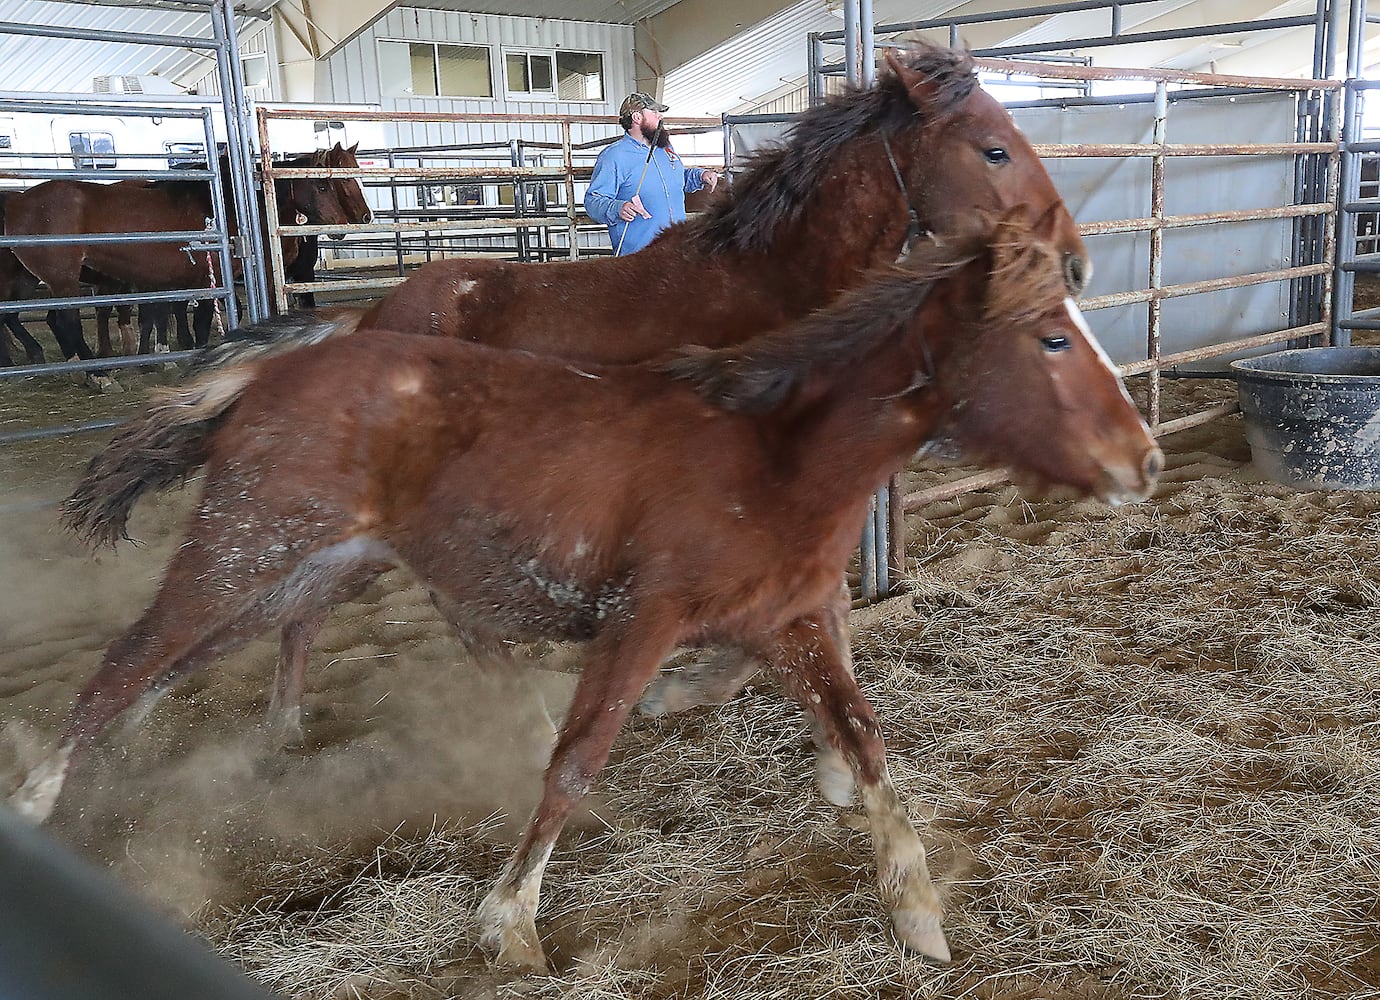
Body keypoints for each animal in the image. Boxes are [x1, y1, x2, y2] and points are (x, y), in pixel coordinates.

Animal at [10, 204, 1159, 965]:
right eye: (1051, 337)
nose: (1142, 460)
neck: (771, 455)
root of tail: (278, 369)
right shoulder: (643, 621)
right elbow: (578, 759)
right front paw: (509, 924)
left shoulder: (788, 620)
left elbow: (865, 734)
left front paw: (915, 905)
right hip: (242, 549)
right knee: (133, 658)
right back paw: (38, 796)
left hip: (307, 563)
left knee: (199, 659)